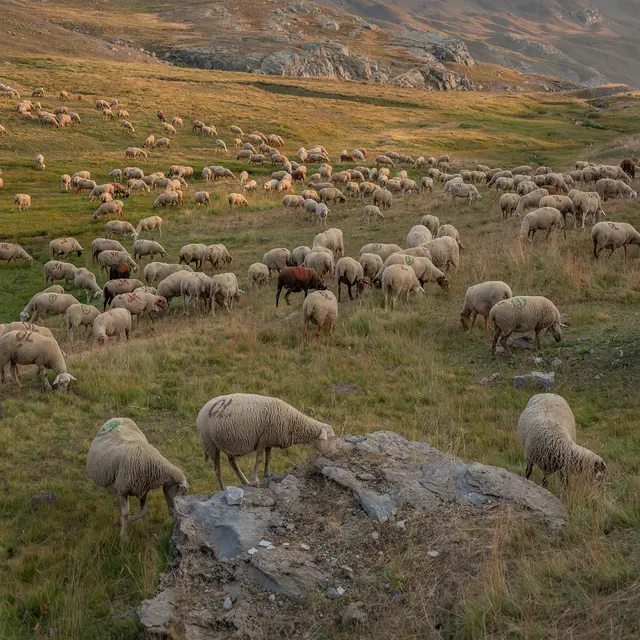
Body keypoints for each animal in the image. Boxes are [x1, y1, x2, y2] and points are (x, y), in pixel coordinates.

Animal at [197, 393, 336, 489]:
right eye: (331, 438)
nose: (333, 454)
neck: (293, 422)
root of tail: (201, 411)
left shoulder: (269, 439)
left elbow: (269, 457)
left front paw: (267, 474)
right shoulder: (262, 440)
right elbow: (260, 459)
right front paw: (255, 480)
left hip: (227, 442)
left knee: (232, 463)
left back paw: (244, 481)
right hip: (210, 444)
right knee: (217, 470)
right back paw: (223, 488)